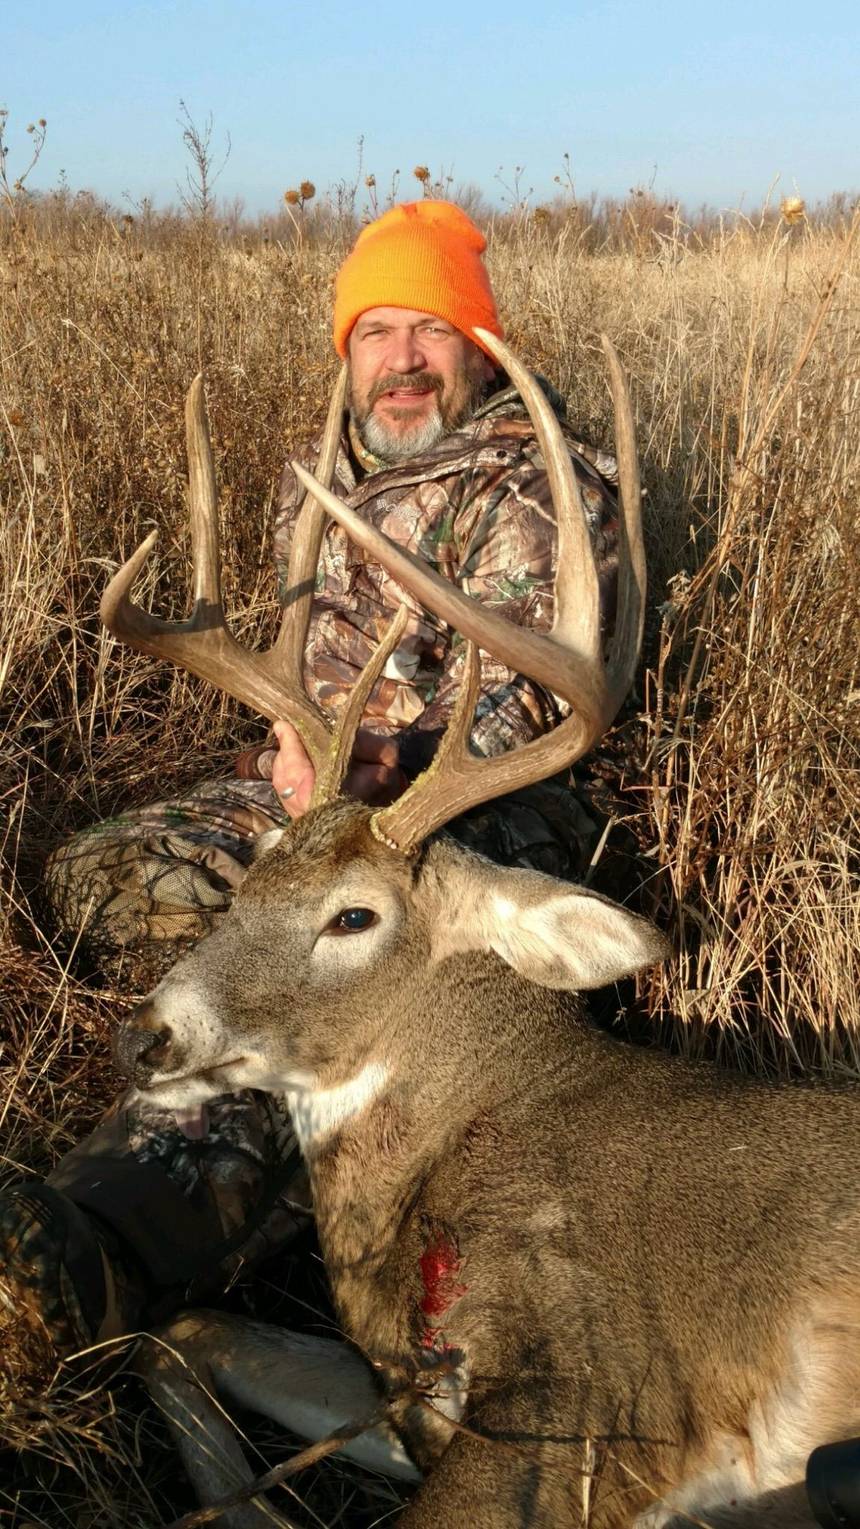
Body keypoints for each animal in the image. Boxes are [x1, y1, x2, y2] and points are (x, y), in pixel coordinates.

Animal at [99, 331, 860, 1528]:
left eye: (354, 914)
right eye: (252, 873)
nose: (147, 1036)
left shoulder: (594, 1386)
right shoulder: (408, 1390)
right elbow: (175, 1330)